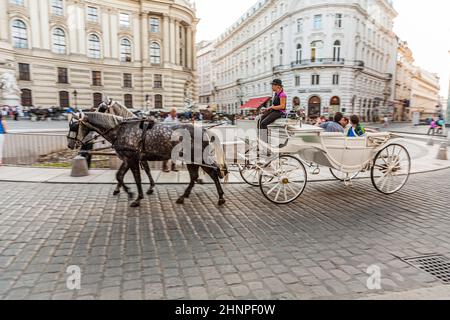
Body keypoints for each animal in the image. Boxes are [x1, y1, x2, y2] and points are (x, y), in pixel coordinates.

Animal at [67, 112, 229, 208]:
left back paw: (220, 197)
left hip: (198, 158)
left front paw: (138, 197)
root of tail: (204, 129)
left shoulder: (132, 159)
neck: (120, 130)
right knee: (196, 176)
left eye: (74, 126)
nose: (69, 144)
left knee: (212, 173)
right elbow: (119, 176)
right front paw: (128, 191)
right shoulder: (128, 159)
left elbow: (137, 178)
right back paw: (185, 196)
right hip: (192, 160)